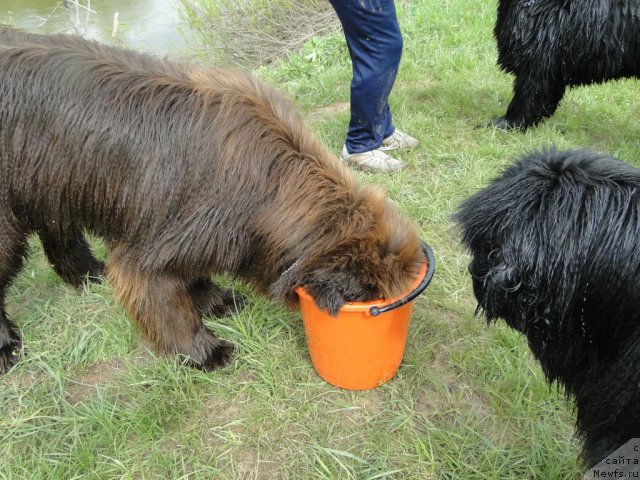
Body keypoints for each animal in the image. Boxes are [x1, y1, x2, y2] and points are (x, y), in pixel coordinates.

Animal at [0, 27, 424, 376]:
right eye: (368, 296)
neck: (271, 188)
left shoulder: (199, 235)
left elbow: (191, 273)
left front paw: (215, 300)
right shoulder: (159, 246)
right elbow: (164, 300)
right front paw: (203, 352)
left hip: (50, 185)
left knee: (57, 232)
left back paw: (88, 274)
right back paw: (7, 346)